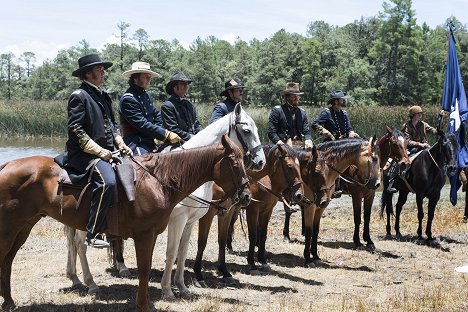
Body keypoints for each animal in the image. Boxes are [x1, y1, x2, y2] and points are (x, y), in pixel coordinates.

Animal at [0, 135, 252, 312]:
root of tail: (7, 166)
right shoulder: (146, 234)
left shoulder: (156, 232)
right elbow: (146, 268)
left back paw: (10, 301)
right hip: (10, 228)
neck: (158, 180)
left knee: (9, 260)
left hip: (24, 227)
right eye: (234, 163)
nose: (246, 196)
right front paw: (147, 303)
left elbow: (158, 263)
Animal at [64, 103, 266, 296]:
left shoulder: (190, 221)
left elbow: (182, 253)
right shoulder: (178, 220)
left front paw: (181, 286)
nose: (261, 162)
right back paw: (91, 283)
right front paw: (168, 289)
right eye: (246, 131)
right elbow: (172, 252)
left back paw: (77, 277)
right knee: (80, 244)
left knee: (75, 241)